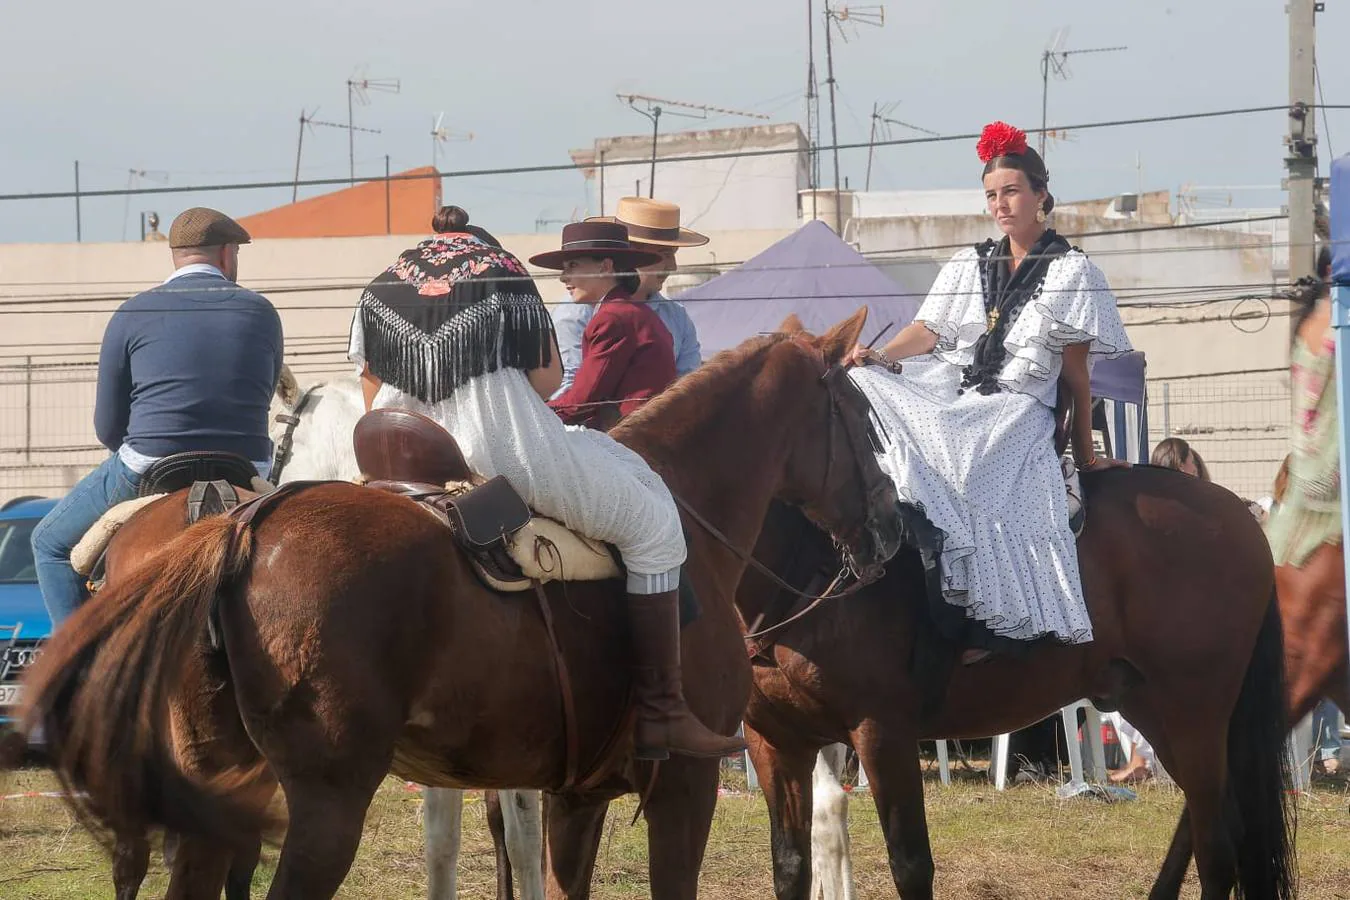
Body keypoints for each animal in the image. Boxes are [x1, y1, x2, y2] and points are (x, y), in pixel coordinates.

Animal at [739, 464, 1296, 900]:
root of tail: (1237, 512)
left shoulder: (882, 734)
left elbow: (909, 865)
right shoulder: (776, 741)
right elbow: (794, 863)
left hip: (1193, 711)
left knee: (1219, 845)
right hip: (1155, 709)